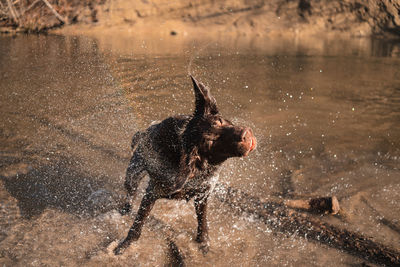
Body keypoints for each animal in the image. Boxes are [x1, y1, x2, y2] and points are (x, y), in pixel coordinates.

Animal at [113, 75, 256, 255]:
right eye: (210, 142)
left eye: (220, 121)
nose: (245, 134)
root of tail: (146, 131)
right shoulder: (152, 192)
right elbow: (137, 224)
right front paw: (125, 244)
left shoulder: (203, 194)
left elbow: (202, 223)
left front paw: (204, 242)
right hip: (133, 173)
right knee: (130, 194)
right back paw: (125, 209)